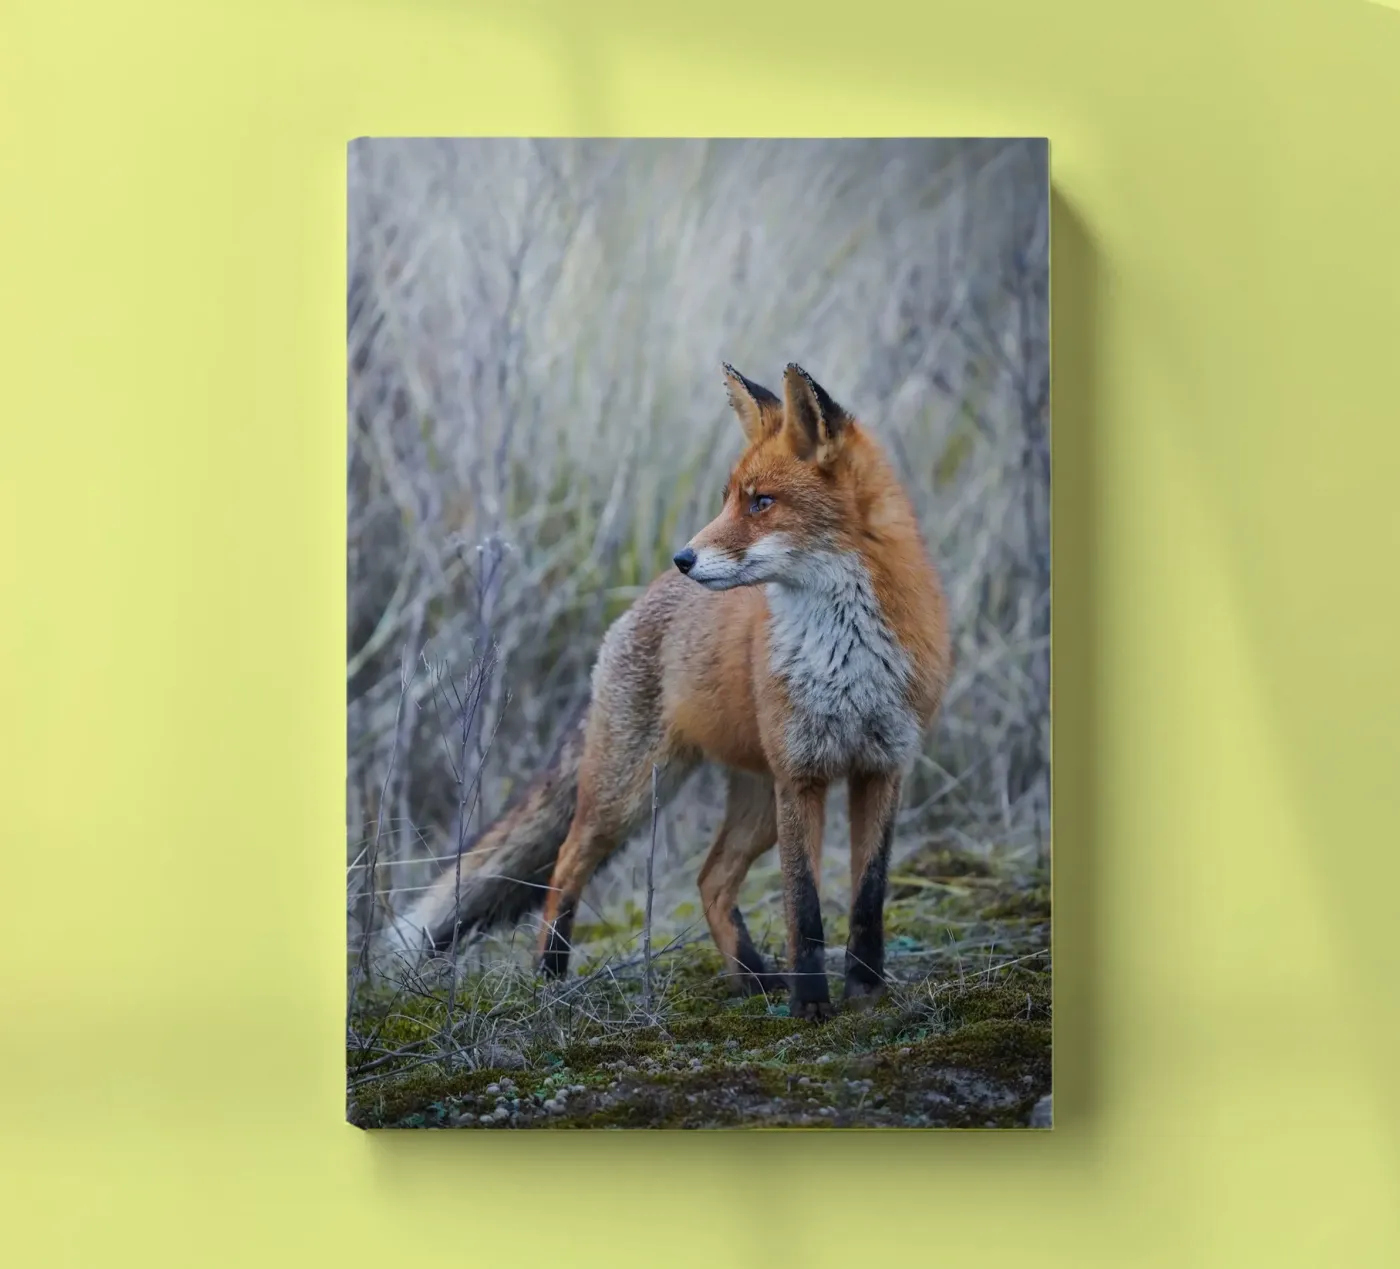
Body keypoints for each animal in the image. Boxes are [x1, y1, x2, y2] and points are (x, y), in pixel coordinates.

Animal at [374, 363, 951, 1019]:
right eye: (730, 498)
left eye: (762, 502)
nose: (684, 557)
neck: (844, 655)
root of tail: (638, 603)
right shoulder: (802, 775)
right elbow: (803, 909)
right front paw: (811, 1008)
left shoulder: (882, 766)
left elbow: (867, 898)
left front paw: (867, 993)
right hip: (630, 793)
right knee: (567, 864)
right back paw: (550, 978)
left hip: (757, 802)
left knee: (710, 879)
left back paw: (752, 979)